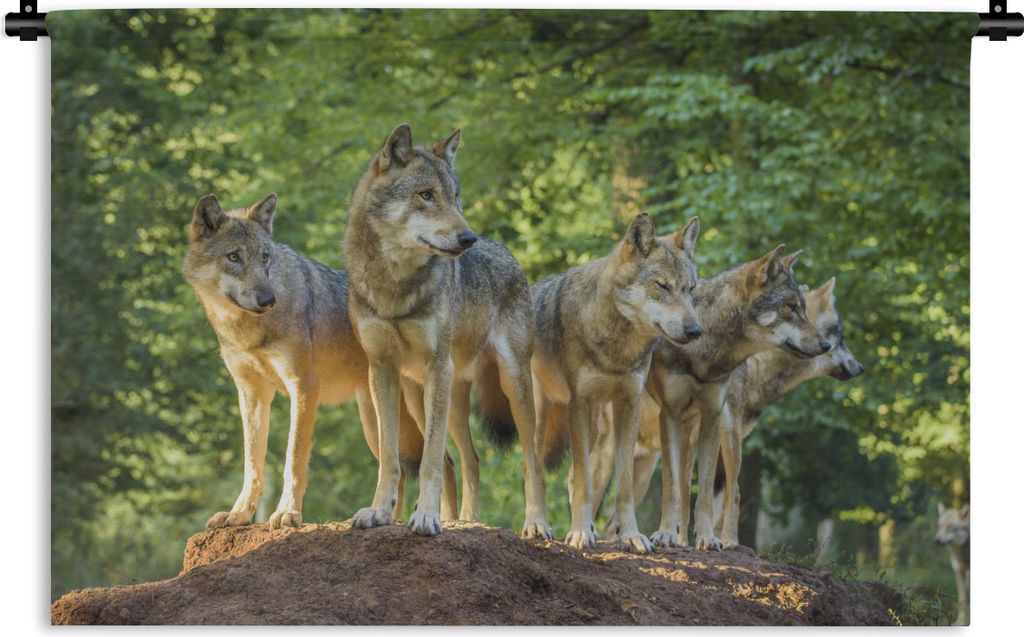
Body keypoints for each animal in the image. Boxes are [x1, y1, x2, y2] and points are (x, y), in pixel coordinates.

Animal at [183, 193, 459, 529]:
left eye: (265, 258)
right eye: (233, 257)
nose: (267, 299)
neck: (249, 331)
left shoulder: (303, 386)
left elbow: (294, 459)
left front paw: (287, 513)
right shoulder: (251, 393)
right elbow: (252, 464)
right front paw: (239, 514)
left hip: (418, 413)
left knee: (444, 462)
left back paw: (444, 520)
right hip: (376, 423)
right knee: (399, 470)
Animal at [343, 124, 551, 539]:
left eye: (455, 197)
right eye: (426, 195)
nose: (468, 238)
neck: (395, 286)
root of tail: (509, 253)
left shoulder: (436, 365)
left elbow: (427, 464)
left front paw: (426, 517)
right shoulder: (382, 370)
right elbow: (390, 459)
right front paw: (380, 512)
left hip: (510, 384)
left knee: (531, 461)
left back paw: (535, 523)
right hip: (429, 397)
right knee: (465, 460)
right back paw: (465, 520)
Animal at [533, 212, 702, 553]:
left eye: (690, 289)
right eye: (662, 286)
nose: (695, 330)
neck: (618, 348)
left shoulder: (629, 403)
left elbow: (622, 487)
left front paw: (630, 536)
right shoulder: (579, 404)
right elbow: (584, 484)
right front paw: (579, 534)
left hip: (598, 427)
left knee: (573, 475)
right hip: (543, 414)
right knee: (539, 472)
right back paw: (538, 525)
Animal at [643, 247, 830, 551]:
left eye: (803, 308)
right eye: (790, 307)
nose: (827, 345)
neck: (706, 345)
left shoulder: (712, 415)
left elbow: (706, 493)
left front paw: (707, 538)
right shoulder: (668, 413)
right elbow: (671, 487)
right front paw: (666, 535)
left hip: (728, 433)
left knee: (734, 491)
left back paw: (728, 541)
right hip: (686, 433)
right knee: (683, 487)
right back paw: (681, 540)